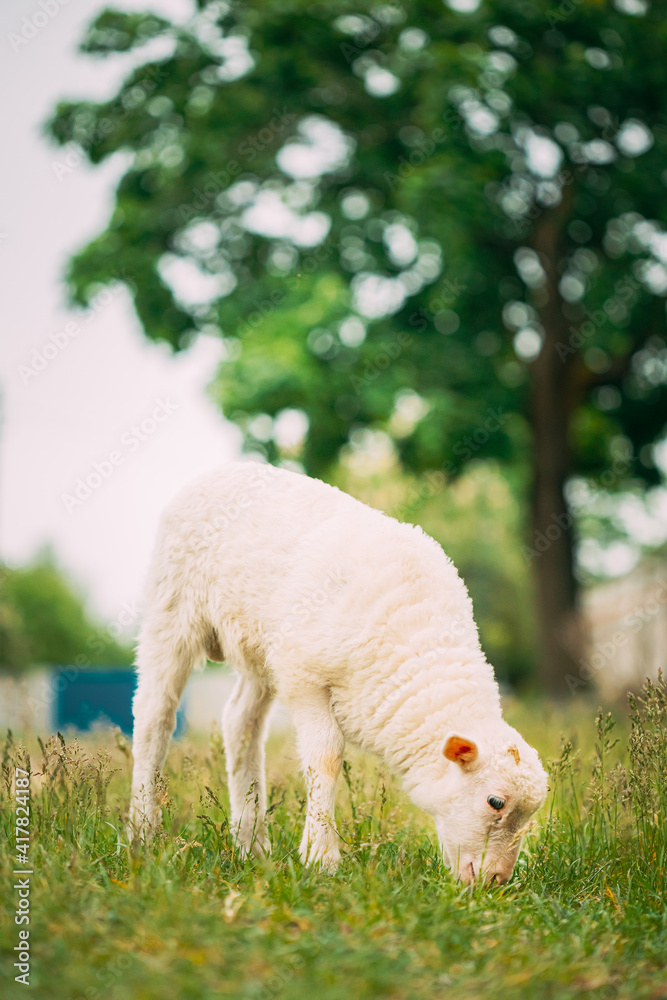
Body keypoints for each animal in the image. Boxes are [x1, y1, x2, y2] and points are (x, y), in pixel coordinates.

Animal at [130, 460, 548, 884]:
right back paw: (143, 834)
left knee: (239, 722)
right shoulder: (306, 677)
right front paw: (321, 857)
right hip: (172, 609)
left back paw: (251, 844)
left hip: (259, 647)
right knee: (154, 715)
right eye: (495, 801)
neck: (418, 634)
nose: (496, 881)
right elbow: (327, 757)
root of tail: (218, 471)